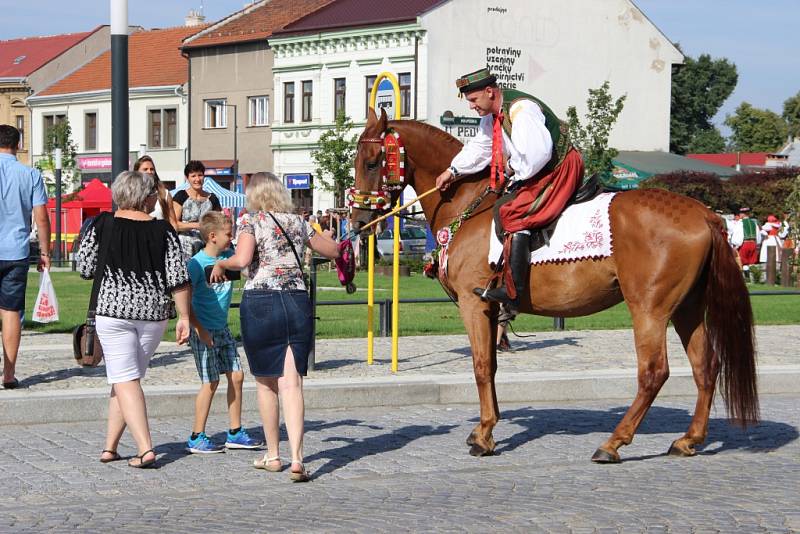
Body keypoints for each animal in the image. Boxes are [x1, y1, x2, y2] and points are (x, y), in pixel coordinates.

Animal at [354, 109, 760, 464]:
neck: (470, 206)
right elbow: (493, 366)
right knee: (706, 367)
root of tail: (705, 214)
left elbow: (482, 365)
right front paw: (487, 427)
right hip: (687, 309)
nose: (357, 219)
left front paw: (484, 436)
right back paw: (689, 440)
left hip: (650, 309)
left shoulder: (475, 304)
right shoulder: (490, 309)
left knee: (653, 371)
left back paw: (613, 443)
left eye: (372, 162)